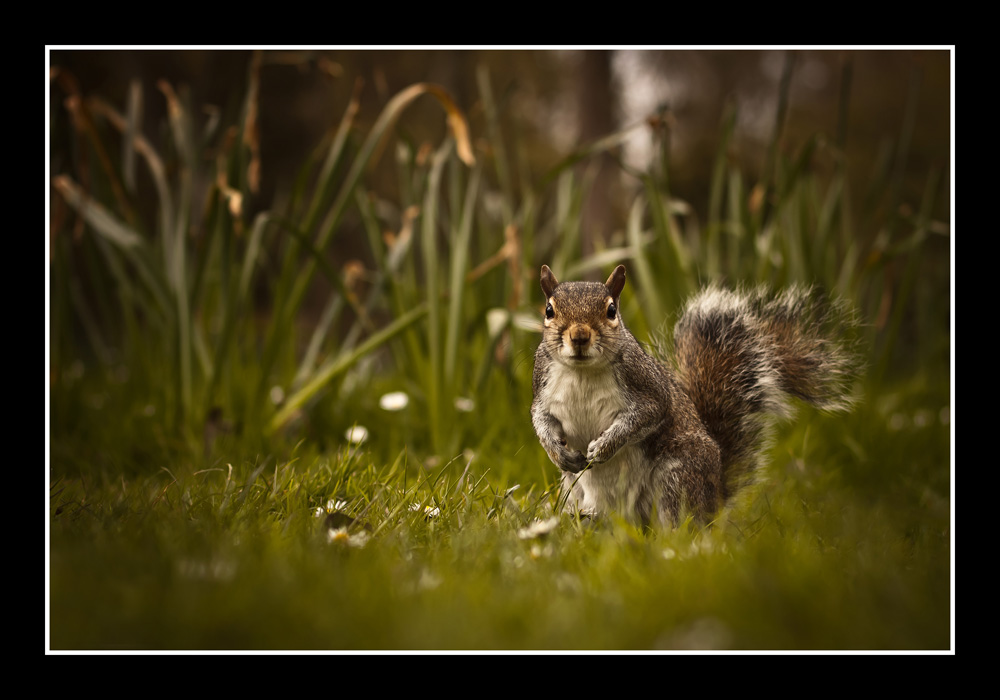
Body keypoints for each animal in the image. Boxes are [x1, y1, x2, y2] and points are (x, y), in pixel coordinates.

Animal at [532, 266, 860, 528]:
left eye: (611, 311)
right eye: (549, 311)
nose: (579, 336)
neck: (582, 371)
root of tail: (716, 498)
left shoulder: (647, 385)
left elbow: (649, 413)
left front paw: (603, 447)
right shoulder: (541, 384)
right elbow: (541, 420)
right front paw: (556, 451)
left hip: (677, 477)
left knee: (678, 525)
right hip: (574, 489)